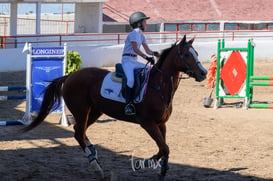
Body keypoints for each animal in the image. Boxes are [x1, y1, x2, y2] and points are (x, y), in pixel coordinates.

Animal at [22, 34, 206, 179]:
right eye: (187, 55)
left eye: (196, 53)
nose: (203, 73)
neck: (158, 86)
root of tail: (70, 76)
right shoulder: (148, 124)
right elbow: (164, 147)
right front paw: (147, 163)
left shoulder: (161, 124)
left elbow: (164, 148)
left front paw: (160, 168)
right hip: (82, 111)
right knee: (79, 133)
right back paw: (96, 166)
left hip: (95, 111)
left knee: (79, 132)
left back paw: (93, 153)